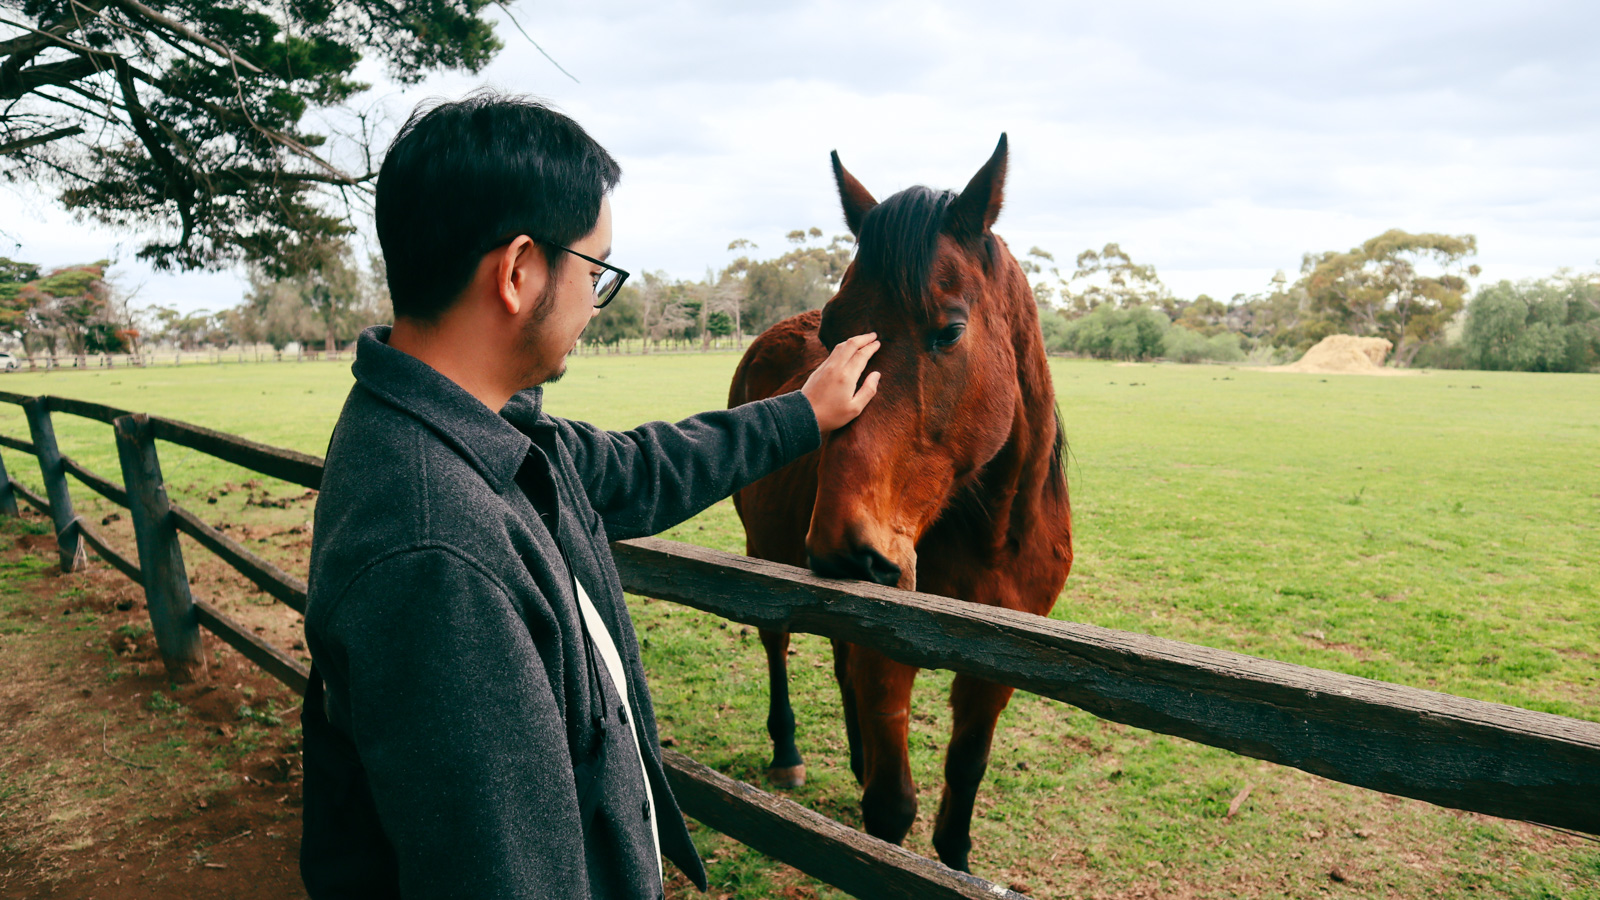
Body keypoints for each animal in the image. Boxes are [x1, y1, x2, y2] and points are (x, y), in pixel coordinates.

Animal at [732, 134, 1068, 871]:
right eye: (834, 335)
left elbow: (962, 781)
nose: (845, 549)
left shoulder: (998, 666)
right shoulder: (889, 655)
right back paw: (788, 752)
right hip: (764, 555)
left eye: (950, 331)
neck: (992, 539)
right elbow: (891, 809)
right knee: (778, 644)